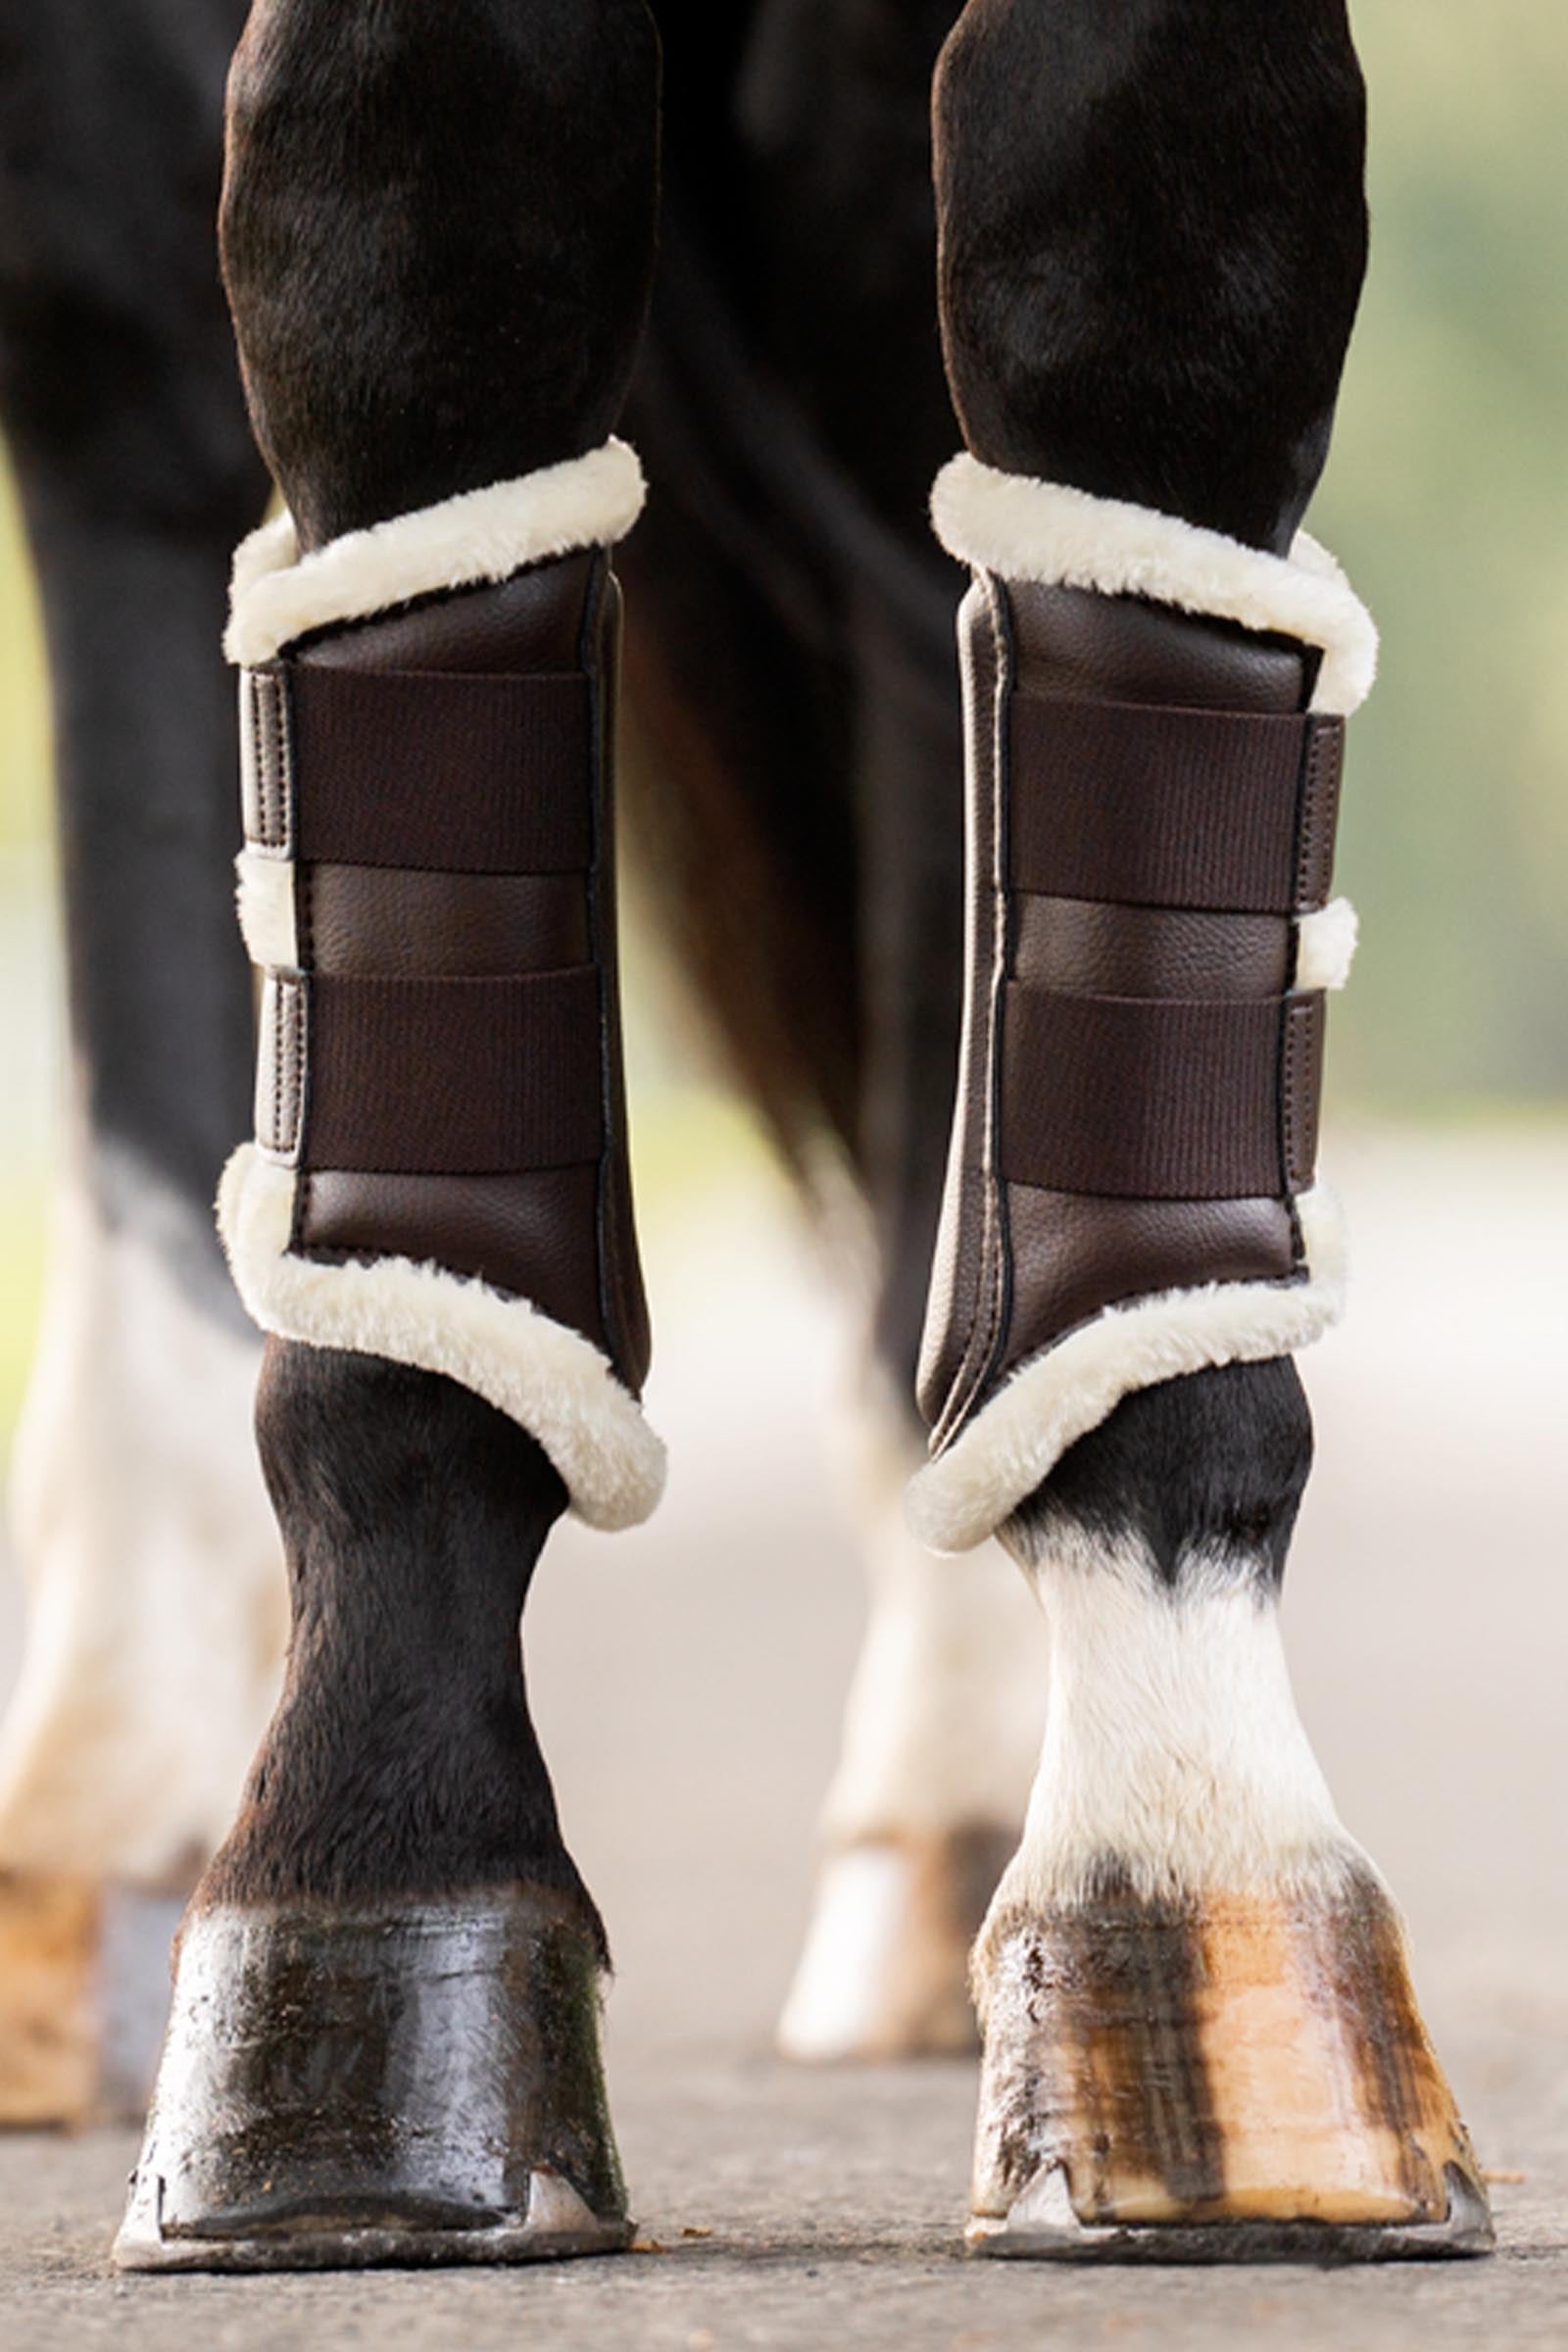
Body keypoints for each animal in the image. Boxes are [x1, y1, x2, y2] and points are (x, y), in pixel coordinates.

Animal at [0, 0, 1493, 2266]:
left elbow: (1137, 246)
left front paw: (1189, 1893)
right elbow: (408, 235)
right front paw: (353, 1926)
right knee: (147, 365)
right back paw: (115, 1808)